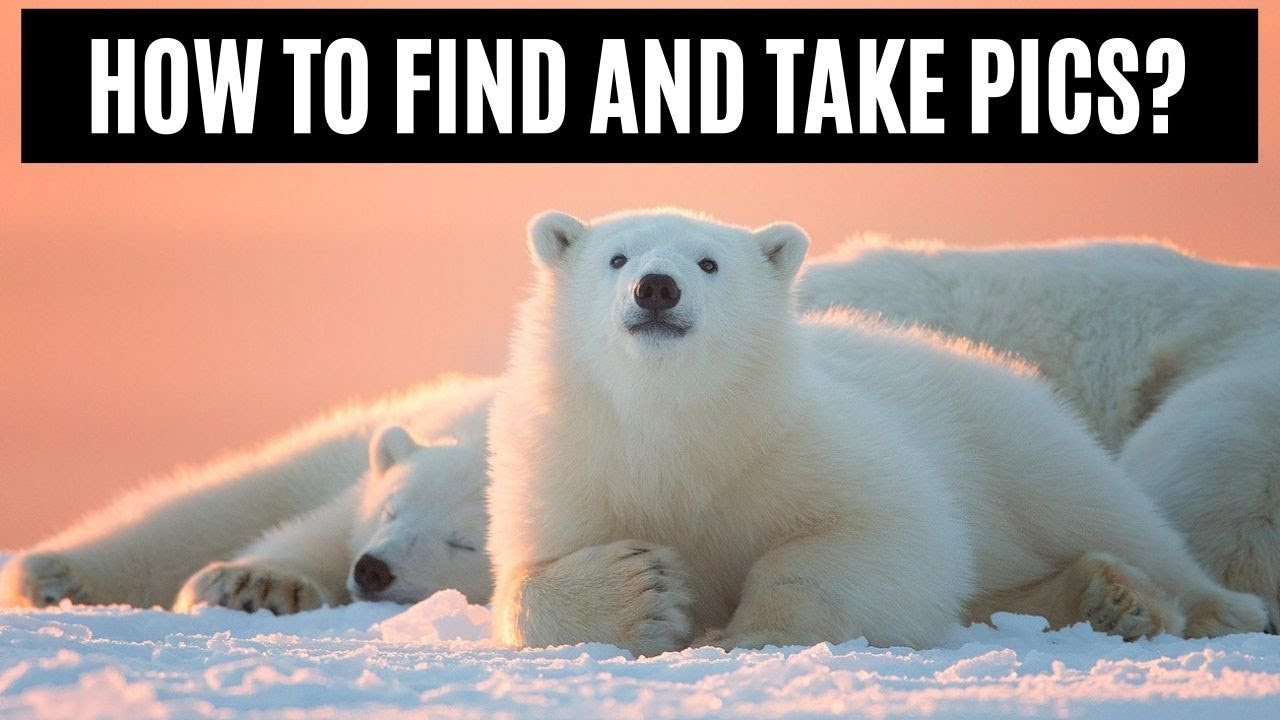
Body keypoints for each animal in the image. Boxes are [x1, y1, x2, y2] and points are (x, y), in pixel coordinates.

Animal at [0, 375, 497, 614]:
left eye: (463, 543)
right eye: (390, 512)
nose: (373, 569)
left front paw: (261, 589)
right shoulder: (353, 499)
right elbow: (320, 532)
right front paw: (253, 585)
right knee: (223, 500)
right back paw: (53, 576)